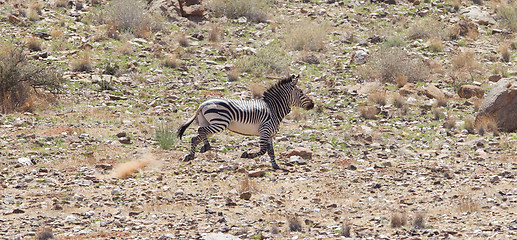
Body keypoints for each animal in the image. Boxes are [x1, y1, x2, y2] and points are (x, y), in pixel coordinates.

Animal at [177, 75, 314, 169]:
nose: (312, 104)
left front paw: (275, 165)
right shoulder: (264, 130)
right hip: (220, 122)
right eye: (301, 92)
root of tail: (202, 104)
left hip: (208, 122)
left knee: (199, 134)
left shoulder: (269, 134)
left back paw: (200, 150)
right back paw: (199, 151)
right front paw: (246, 154)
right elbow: (263, 150)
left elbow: (271, 151)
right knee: (199, 132)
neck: (273, 109)